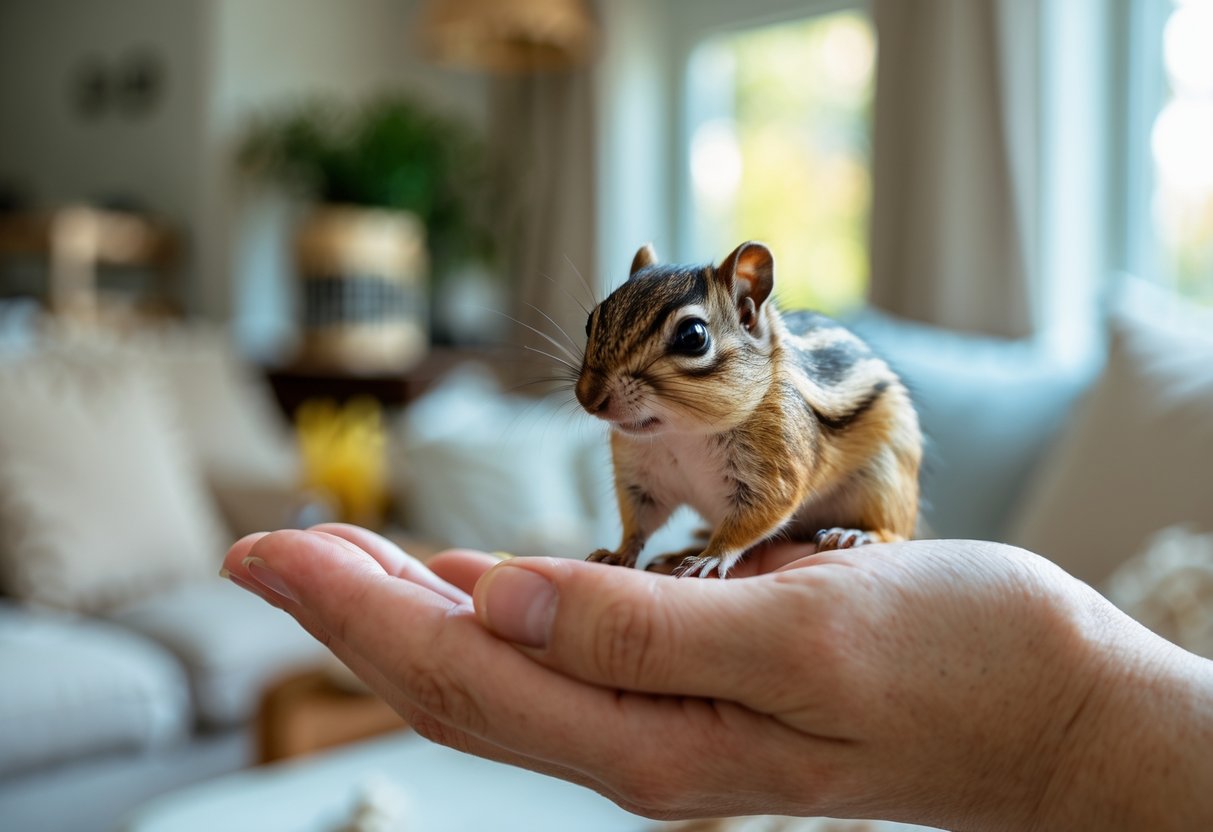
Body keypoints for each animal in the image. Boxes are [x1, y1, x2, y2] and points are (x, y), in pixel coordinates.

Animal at [575, 241, 922, 578]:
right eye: (591, 321)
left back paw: (855, 534)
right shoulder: (640, 477)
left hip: (885, 483)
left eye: (692, 336)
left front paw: (712, 556)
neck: (684, 433)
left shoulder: (775, 469)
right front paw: (619, 553)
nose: (588, 398)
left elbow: (756, 516)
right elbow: (639, 522)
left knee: (894, 532)